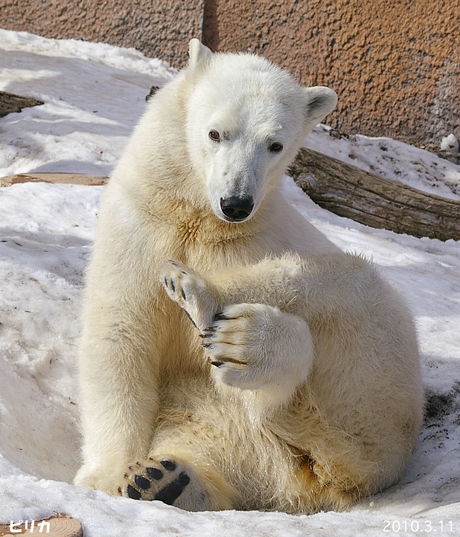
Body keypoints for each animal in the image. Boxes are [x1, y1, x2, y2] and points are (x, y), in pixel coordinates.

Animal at [73, 40, 422, 510]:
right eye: (215, 133)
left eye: (275, 144)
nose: (236, 202)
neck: (199, 219)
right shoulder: (139, 225)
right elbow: (120, 335)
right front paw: (110, 475)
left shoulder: (253, 239)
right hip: (215, 417)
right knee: (212, 436)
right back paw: (166, 479)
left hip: (375, 381)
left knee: (344, 287)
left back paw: (225, 320)